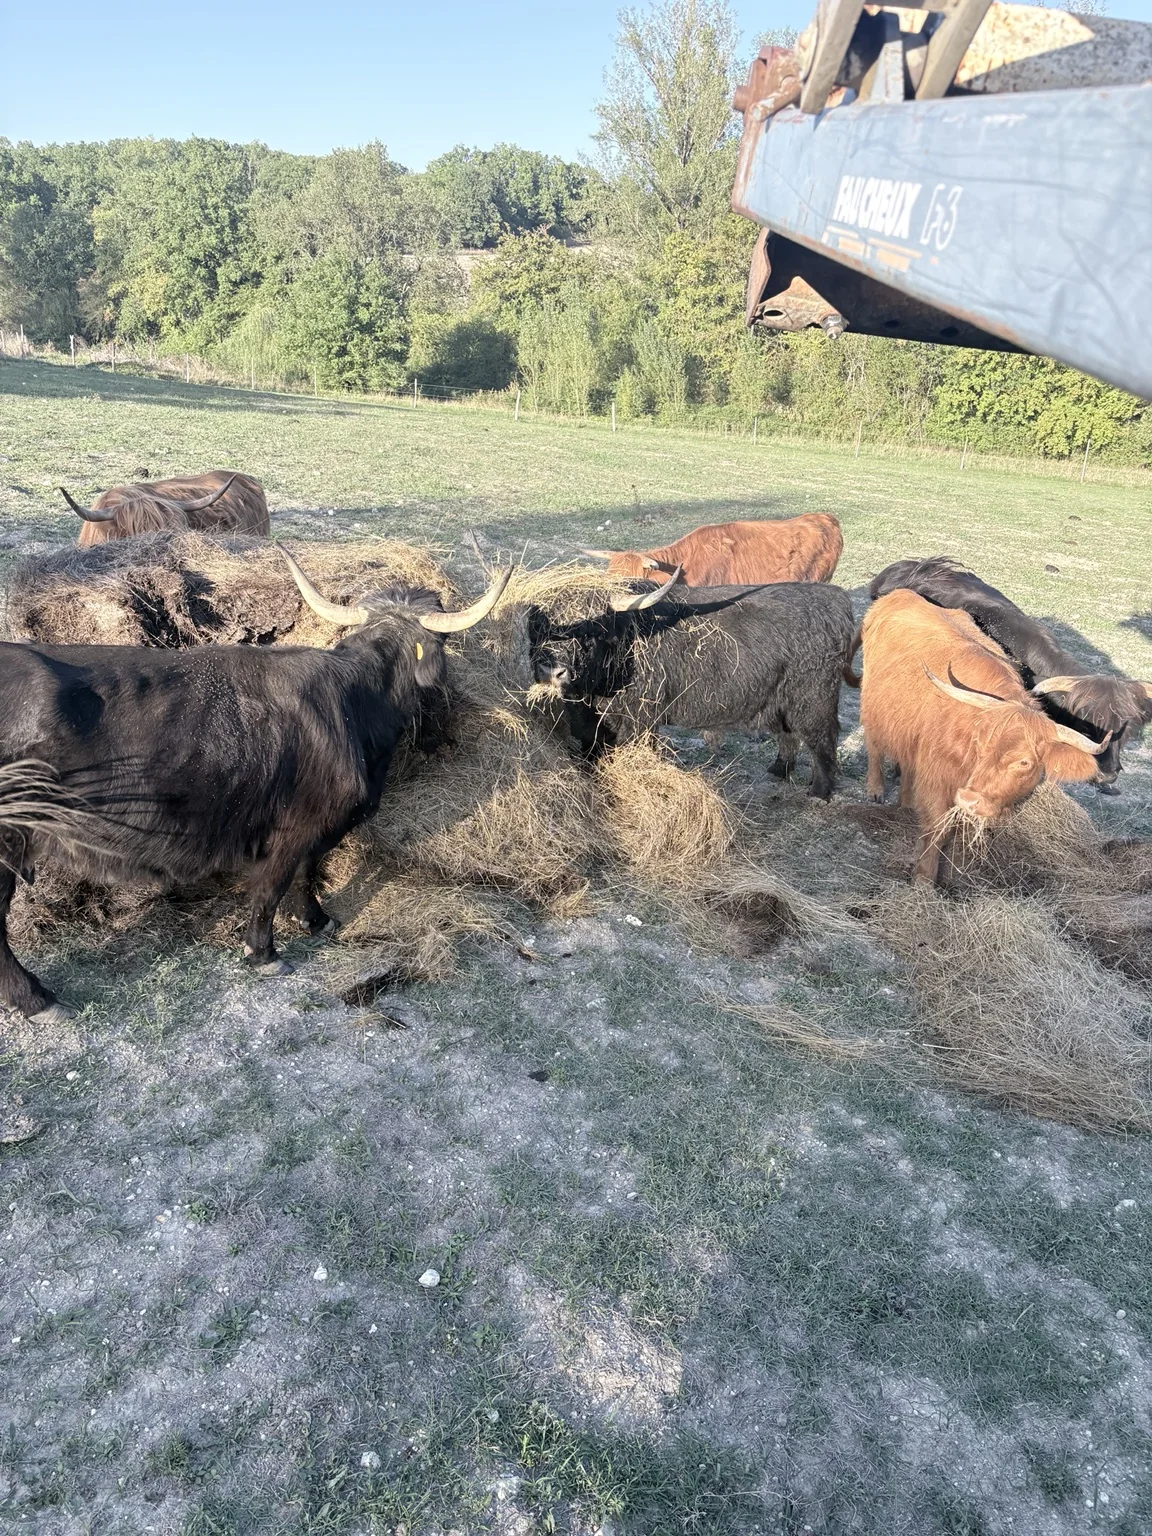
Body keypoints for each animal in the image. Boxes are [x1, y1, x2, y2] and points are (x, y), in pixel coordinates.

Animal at [0, 552, 509, 1024]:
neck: (355, 704)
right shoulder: (293, 829)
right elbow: (273, 887)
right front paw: (264, 954)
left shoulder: (314, 830)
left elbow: (308, 872)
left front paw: (316, 920)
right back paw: (39, 1000)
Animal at [529, 570, 856, 798]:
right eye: (543, 628)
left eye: (591, 631)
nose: (551, 669)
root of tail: (837, 599)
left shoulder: (639, 720)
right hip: (779, 698)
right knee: (788, 733)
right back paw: (778, 770)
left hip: (813, 697)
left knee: (822, 736)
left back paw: (819, 791)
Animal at [857, 590, 1110, 884]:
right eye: (980, 745)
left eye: (1024, 762)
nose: (969, 799)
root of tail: (899, 594)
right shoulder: (937, 780)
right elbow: (937, 828)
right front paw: (924, 878)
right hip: (871, 703)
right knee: (874, 745)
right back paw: (875, 789)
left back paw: (906, 803)